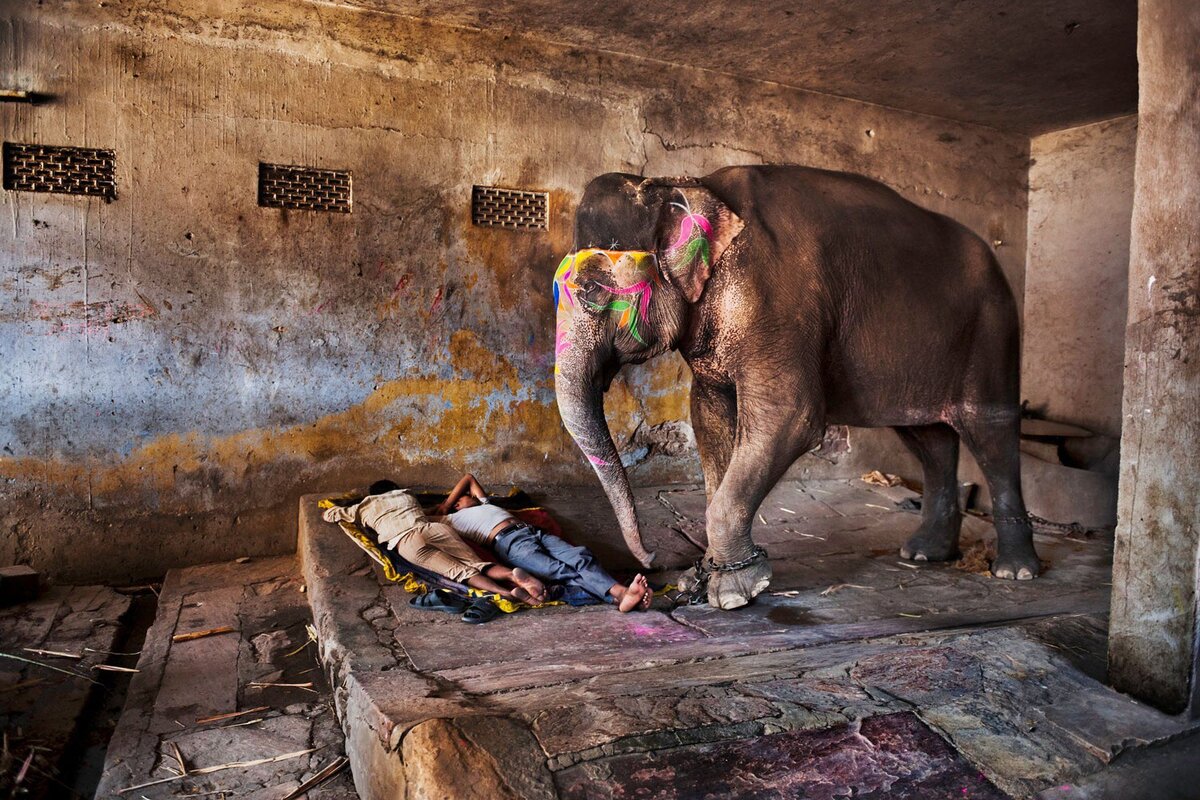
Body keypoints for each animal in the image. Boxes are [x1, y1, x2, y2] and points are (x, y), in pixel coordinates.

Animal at [552, 165, 1041, 609]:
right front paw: (704, 578)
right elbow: (708, 415)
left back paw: (1014, 571)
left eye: (592, 290)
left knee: (989, 430)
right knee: (928, 438)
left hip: (993, 327)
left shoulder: (774, 302)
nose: (650, 560)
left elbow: (791, 415)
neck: (689, 185)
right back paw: (923, 554)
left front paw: (735, 591)